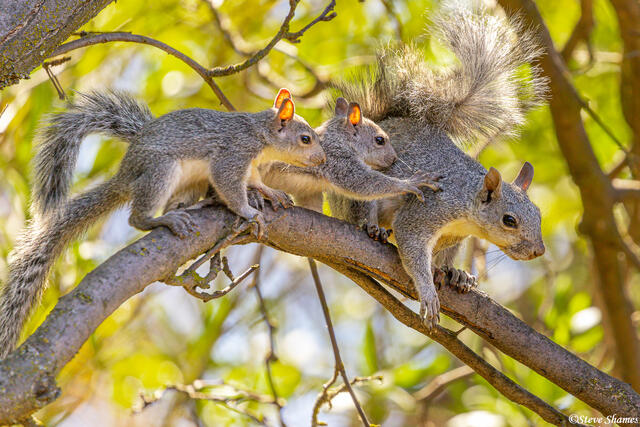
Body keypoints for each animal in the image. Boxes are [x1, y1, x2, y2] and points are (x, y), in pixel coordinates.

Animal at [0, 89, 324, 357]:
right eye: (305, 139)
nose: (322, 160)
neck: (260, 135)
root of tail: (126, 178)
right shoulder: (234, 155)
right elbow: (231, 187)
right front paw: (248, 211)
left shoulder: (251, 166)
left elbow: (255, 180)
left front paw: (271, 192)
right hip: (161, 171)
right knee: (137, 217)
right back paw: (164, 219)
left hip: (187, 182)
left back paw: (198, 205)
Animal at [328, 6, 548, 329]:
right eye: (509, 220)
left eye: (539, 214)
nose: (538, 251)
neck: (467, 207)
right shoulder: (429, 209)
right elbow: (411, 246)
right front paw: (428, 292)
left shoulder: (453, 236)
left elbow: (437, 254)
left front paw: (450, 272)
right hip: (356, 187)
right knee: (358, 208)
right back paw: (371, 227)